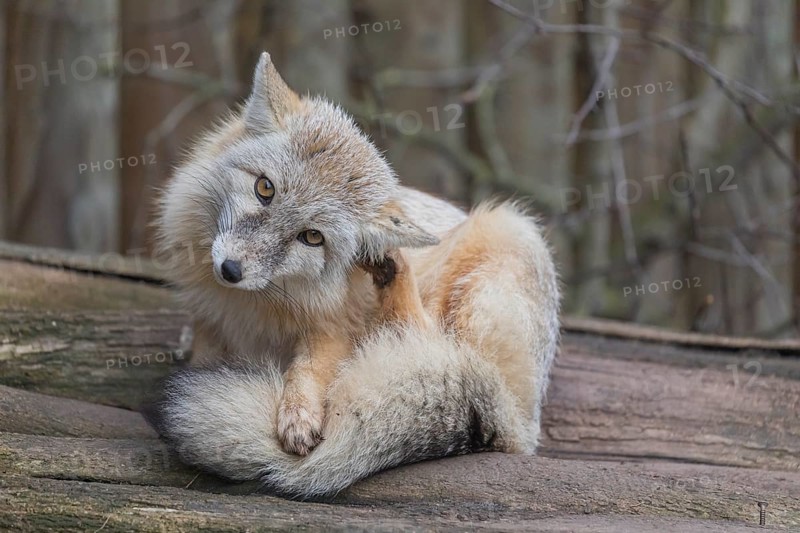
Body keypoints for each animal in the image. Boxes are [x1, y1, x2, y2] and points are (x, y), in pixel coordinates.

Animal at [147, 52, 560, 498]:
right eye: (264, 189)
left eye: (312, 237)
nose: (231, 270)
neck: (251, 310)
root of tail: (518, 421)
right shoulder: (211, 322)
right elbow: (207, 355)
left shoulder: (334, 327)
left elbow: (309, 367)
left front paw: (299, 413)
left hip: (504, 239)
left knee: (428, 336)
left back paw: (393, 266)